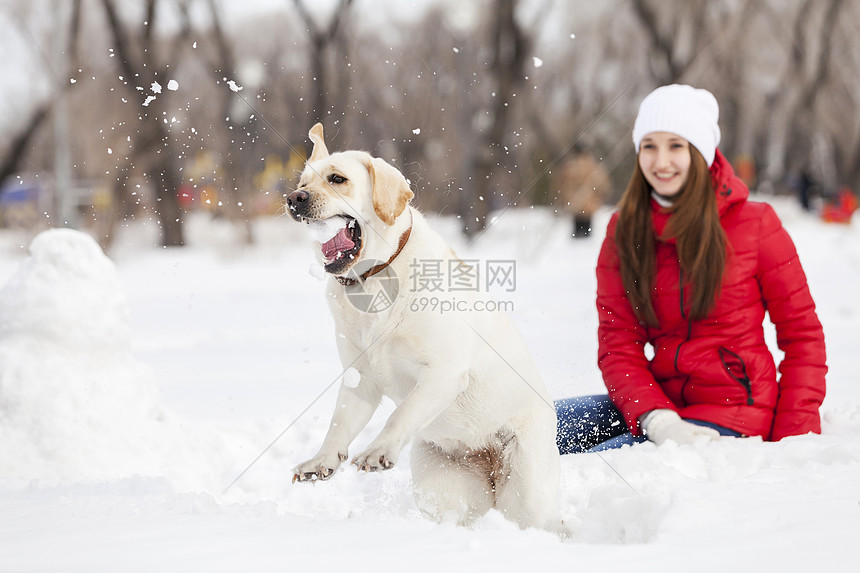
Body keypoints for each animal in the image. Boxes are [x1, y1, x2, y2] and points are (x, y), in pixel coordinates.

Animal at [286, 123, 560, 528]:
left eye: (337, 179)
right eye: (302, 181)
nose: (294, 199)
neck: (373, 280)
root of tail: (487, 458)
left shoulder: (443, 372)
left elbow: (401, 413)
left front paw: (378, 450)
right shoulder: (358, 379)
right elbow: (339, 424)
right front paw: (321, 461)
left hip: (526, 489)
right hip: (444, 489)